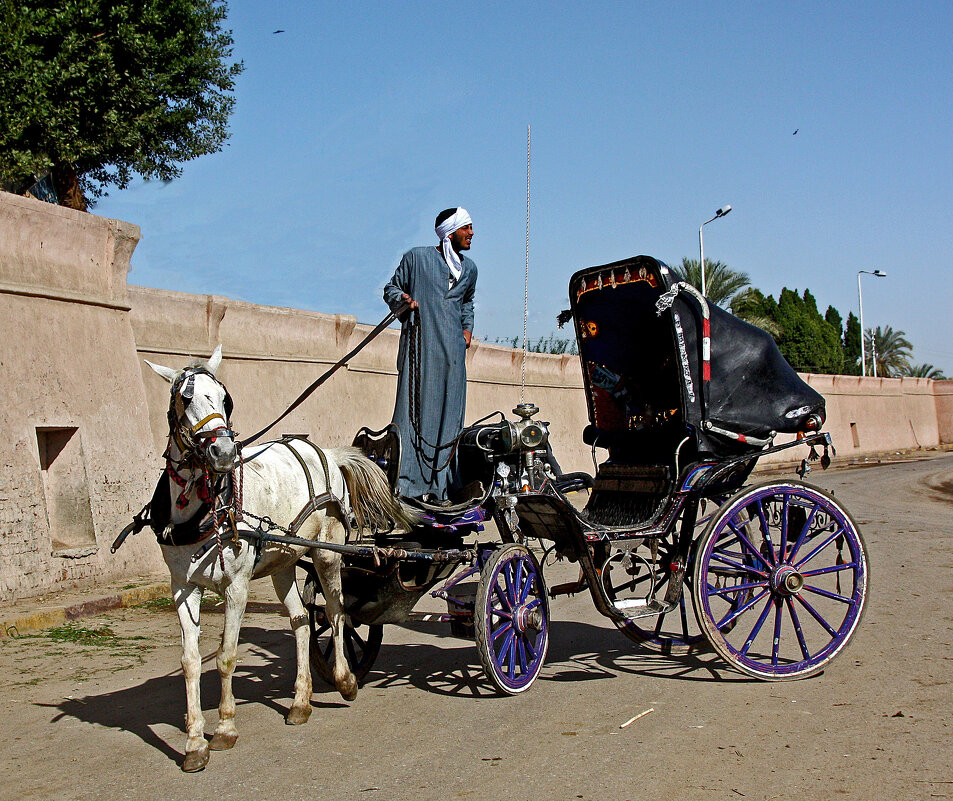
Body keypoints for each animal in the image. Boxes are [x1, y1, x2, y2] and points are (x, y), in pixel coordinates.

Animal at [143, 346, 410, 772]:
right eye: (185, 398)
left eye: (225, 399)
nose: (222, 452)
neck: (204, 510)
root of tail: (327, 453)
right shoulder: (182, 587)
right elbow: (190, 661)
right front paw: (195, 742)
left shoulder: (235, 587)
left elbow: (226, 656)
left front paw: (225, 728)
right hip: (282, 562)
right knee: (302, 621)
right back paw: (300, 702)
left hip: (327, 554)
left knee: (336, 612)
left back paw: (345, 679)